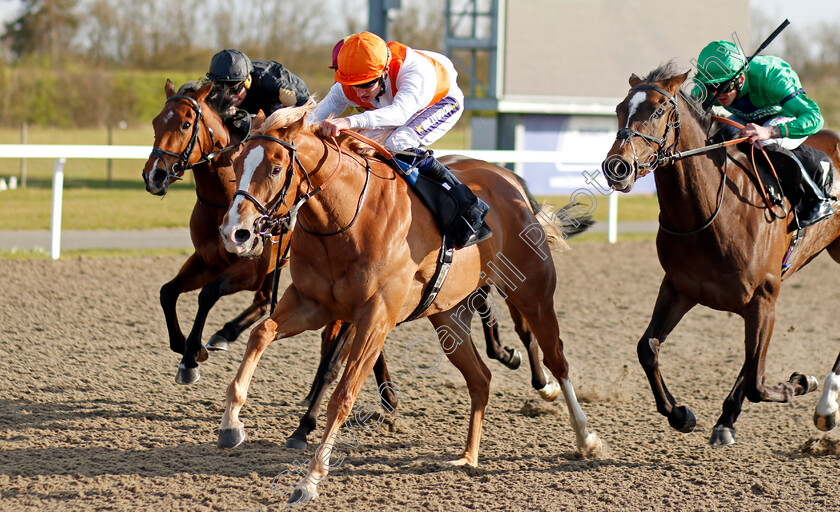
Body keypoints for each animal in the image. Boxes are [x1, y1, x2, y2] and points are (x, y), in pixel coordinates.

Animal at [213, 106, 600, 506]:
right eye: (236, 162)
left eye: (275, 168)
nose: (234, 233)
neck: (347, 219)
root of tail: (511, 182)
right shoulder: (311, 303)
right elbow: (260, 334)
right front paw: (231, 424)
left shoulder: (374, 319)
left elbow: (343, 395)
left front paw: (310, 479)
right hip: (448, 317)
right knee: (480, 378)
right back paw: (468, 456)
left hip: (532, 293)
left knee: (557, 359)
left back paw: (585, 437)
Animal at [600, 63, 840, 448]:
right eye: (620, 109)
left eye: (657, 110)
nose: (616, 167)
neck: (713, 213)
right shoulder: (680, 287)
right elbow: (647, 348)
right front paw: (682, 414)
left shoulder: (763, 297)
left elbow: (758, 382)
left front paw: (800, 383)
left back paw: (826, 407)